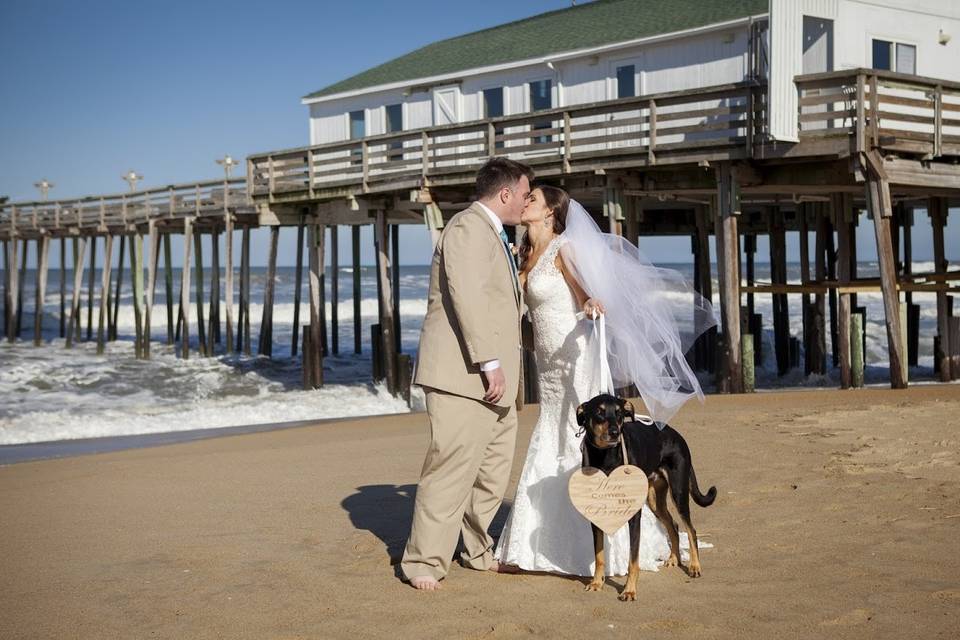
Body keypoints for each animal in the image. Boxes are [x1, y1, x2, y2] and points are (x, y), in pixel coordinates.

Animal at [572, 396, 716, 600]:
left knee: (690, 529)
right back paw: (674, 559)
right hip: (655, 500)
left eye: (619, 413)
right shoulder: (596, 515)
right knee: (673, 525)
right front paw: (596, 583)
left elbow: (633, 558)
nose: (615, 433)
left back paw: (695, 566)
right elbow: (599, 555)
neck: (605, 457)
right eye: (599, 412)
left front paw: (629, 590)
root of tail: (675, 434)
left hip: (678, 492)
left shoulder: (634, 515)